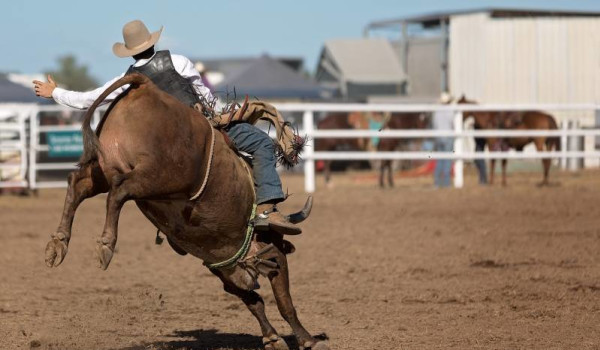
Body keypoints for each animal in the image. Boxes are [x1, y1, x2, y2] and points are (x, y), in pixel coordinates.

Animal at [44, 74, 330, 350]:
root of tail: (144, 85)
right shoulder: (272, 253)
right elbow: (283, 301)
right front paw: (308, 340)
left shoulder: (221, 266)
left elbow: (253, 301)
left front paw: (272, 338)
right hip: (159, 176)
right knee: (119, 191)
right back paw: (105, 245)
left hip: (103, 169)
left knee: (77, 184)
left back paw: (58, 244)